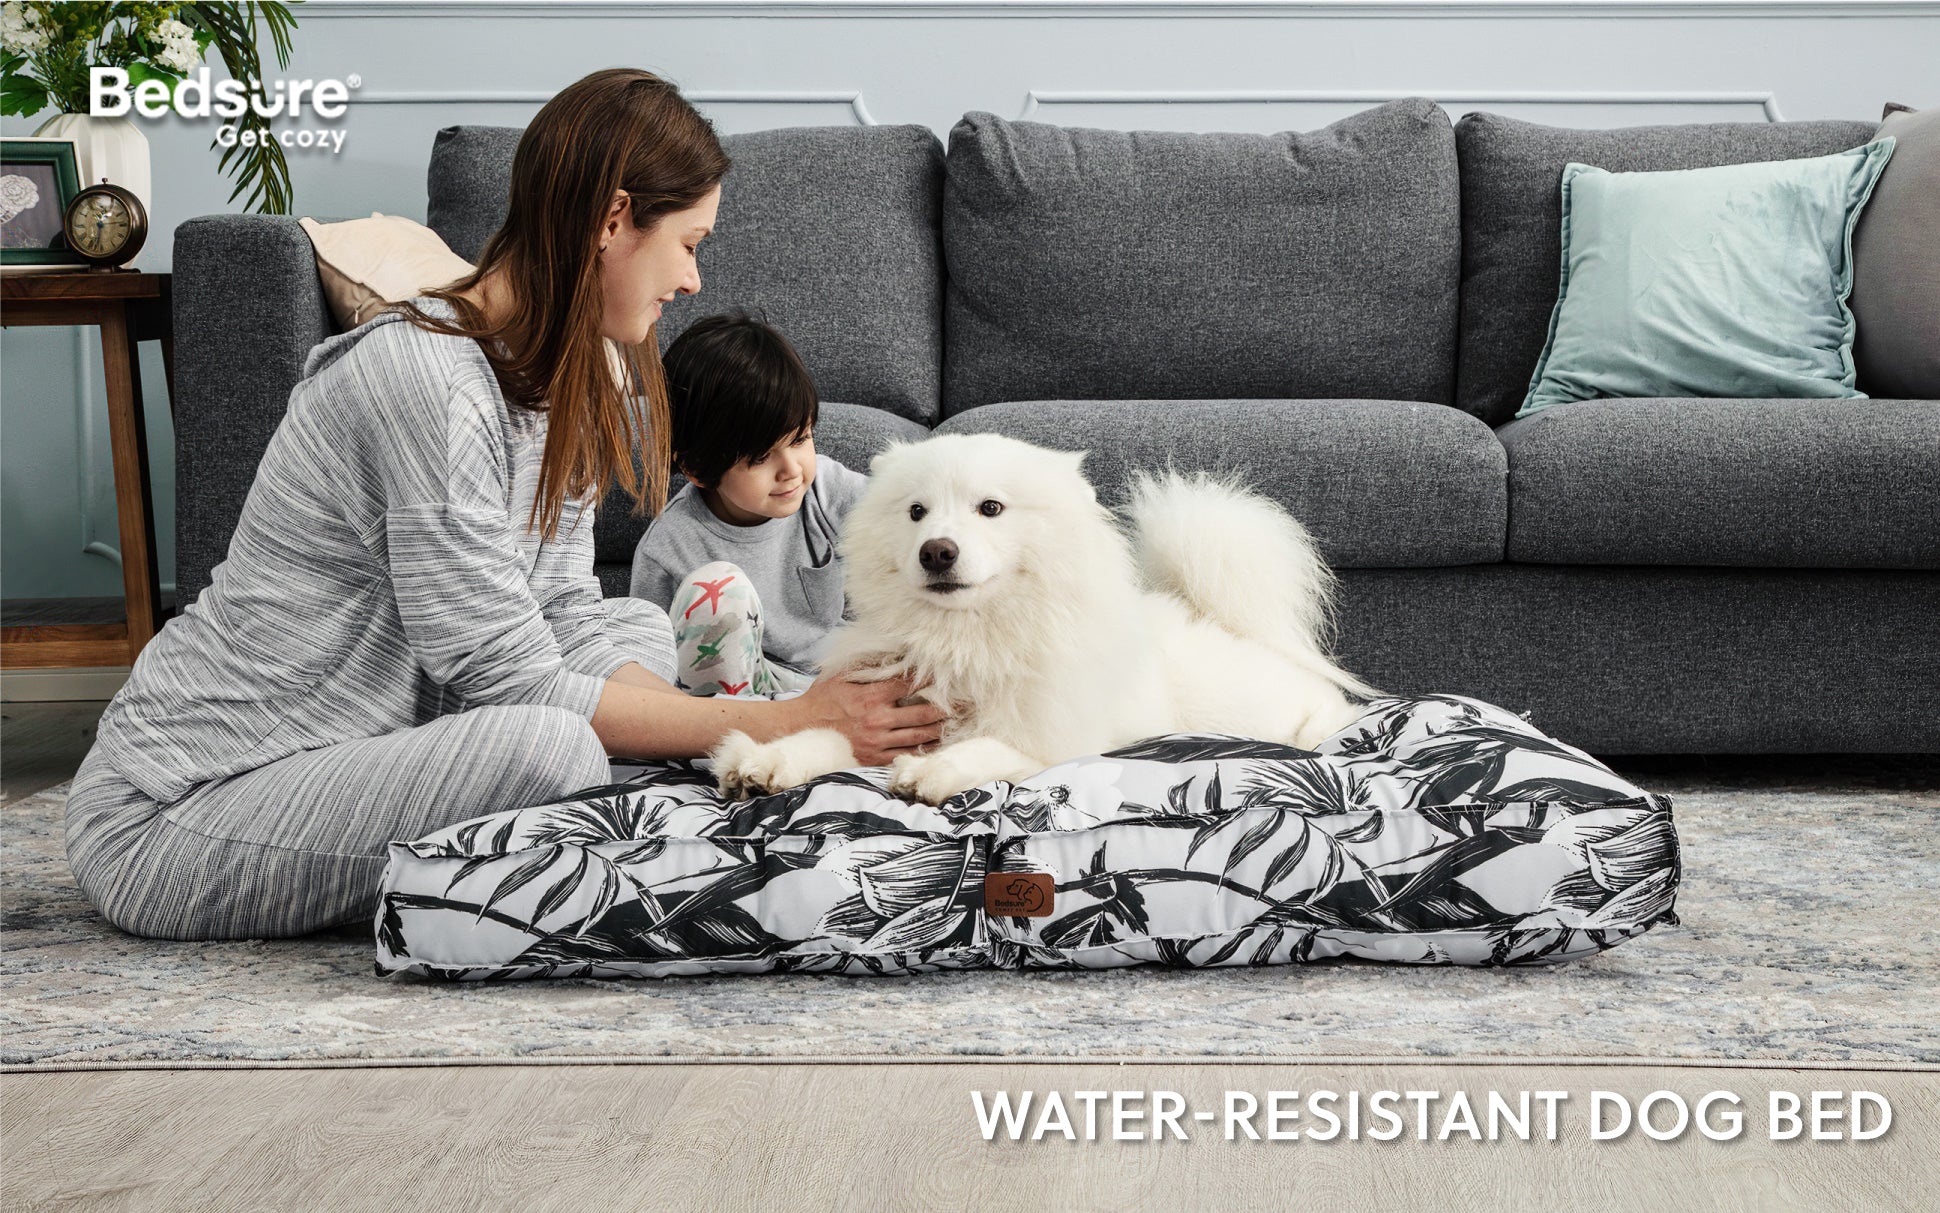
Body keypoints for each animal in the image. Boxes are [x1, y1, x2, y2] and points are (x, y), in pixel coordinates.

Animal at [713, 434, 1381, 803]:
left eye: (990, 508)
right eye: (917, 512)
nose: (937, 551)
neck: (966, 636)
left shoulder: (1052, 742)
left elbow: (987, 747)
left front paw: (933, 771)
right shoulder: (887, 717)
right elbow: (823, 738)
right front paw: (765, 762)